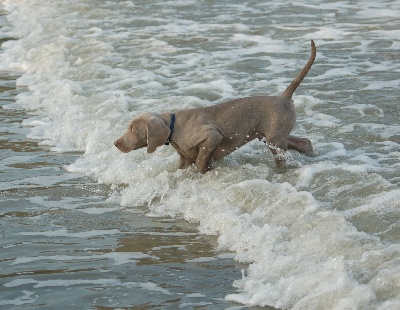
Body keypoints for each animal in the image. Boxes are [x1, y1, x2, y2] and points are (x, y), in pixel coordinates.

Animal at [115, 40, 316, 173]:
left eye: (133, 130)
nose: (116, 143)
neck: (173, 126)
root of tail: (284, 97)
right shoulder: (184, 158)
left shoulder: (212, 136)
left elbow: (202, 160)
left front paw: (207, 169)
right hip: (270, 134)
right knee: (304, 141)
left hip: (274, 139)